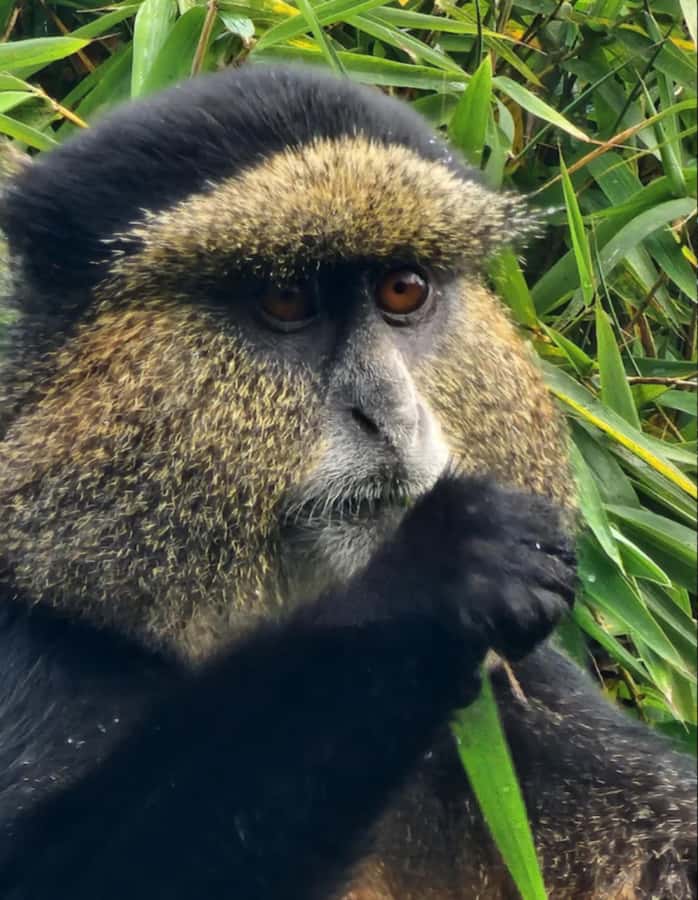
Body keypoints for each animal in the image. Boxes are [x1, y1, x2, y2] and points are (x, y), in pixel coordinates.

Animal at [0, 64, 694, 899]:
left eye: (403, 289)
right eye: (284, 298)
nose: (391, 410)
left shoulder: (539, 704)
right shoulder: (35, 655)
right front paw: (435, 576)